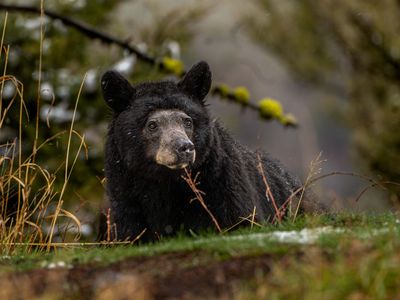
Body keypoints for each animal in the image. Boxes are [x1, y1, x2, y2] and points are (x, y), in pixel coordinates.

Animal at [101, 61, 324, 241]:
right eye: (152, 125)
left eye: (187, 121)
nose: (184, 147)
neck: (167, 182)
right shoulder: (126, 195)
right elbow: (131, 231)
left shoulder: (222, 183)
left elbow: (239, 219)